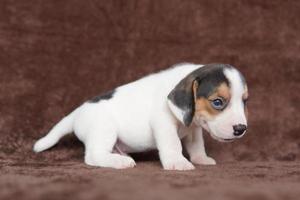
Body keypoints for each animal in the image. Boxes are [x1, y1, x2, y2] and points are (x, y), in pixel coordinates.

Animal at [33, 63, 248, 170]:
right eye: (217, 102)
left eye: (244, 101)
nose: (241, 129)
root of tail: (77, 112)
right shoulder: (164, 124)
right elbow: (173, 145)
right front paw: (177, 162)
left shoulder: (193, 128)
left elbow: (196, 146)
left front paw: (200, 159)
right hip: (104, 130)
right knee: (93, 156)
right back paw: (118, 162)